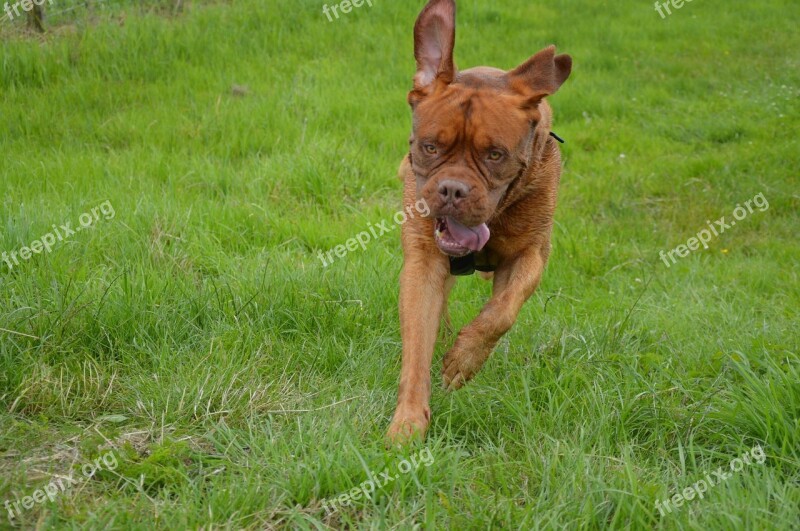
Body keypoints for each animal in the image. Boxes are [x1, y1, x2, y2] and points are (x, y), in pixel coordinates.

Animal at [386, 0, 568, 444]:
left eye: (495, 155)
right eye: (430, 147)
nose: (452, 190)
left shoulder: (530, 255)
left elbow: (501, 311)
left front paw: (464, 359)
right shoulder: (423, 263)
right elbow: (416, 346)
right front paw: (408, 421)